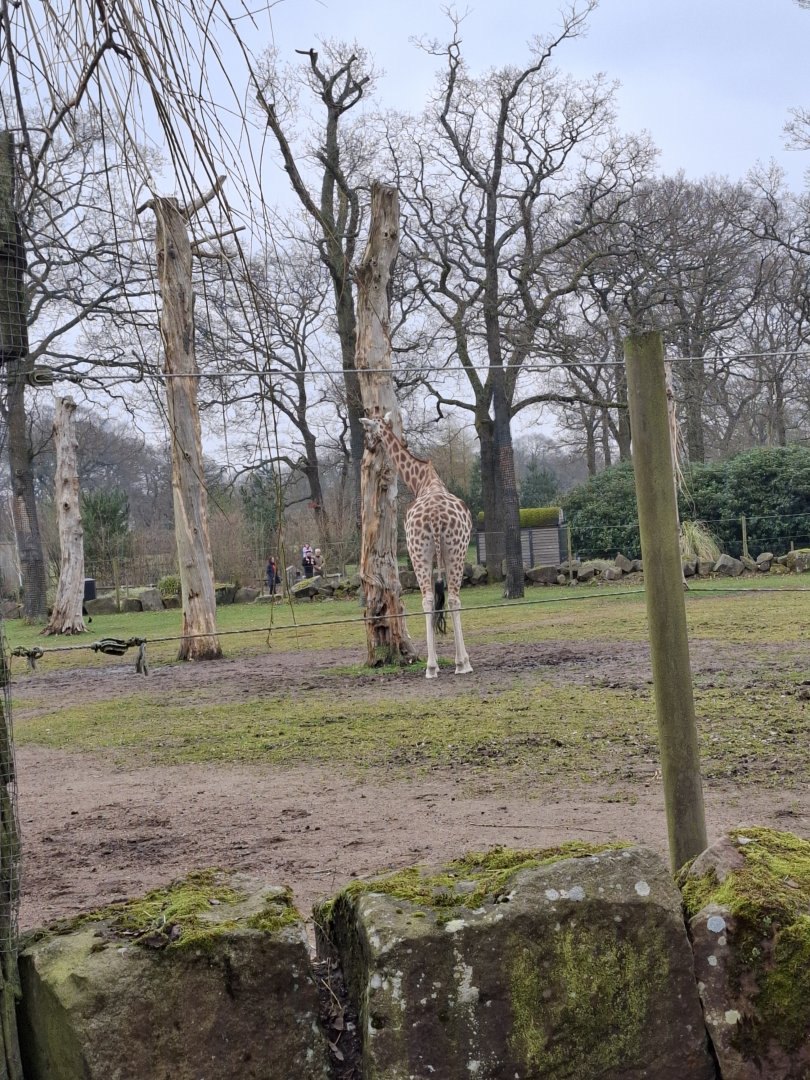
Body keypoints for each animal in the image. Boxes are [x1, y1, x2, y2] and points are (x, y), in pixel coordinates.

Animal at [359, 413, 473, 679]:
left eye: (367, 429)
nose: (368, 445)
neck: (421, 479)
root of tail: (437, 518)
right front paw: (454, 661)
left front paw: (442, 662)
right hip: (453, 549)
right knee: (451, 598)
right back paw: (460, 663)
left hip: (418, 551)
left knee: (429, 600)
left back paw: (433, 667)